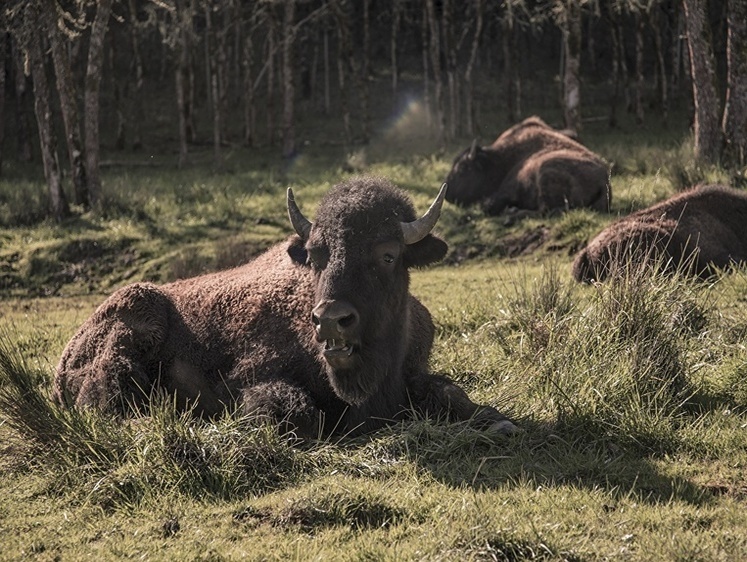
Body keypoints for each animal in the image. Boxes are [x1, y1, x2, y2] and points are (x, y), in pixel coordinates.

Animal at [52, 177, 516, 436]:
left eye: (388, 255)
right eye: (314, 255)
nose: (331, 320)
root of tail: (63, 360)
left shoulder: (416, 370)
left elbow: (450, 392)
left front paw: (498, 422)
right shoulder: (250, 378)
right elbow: (300, 414)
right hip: (132, 330)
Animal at [444, 116, 612, 217]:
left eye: (463, 168)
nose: (447, 195)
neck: (499, 159)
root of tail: (604, 179)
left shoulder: (507, 191)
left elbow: (489, 205)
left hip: (545, 170)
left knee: (546, 211)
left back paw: (512, 213)